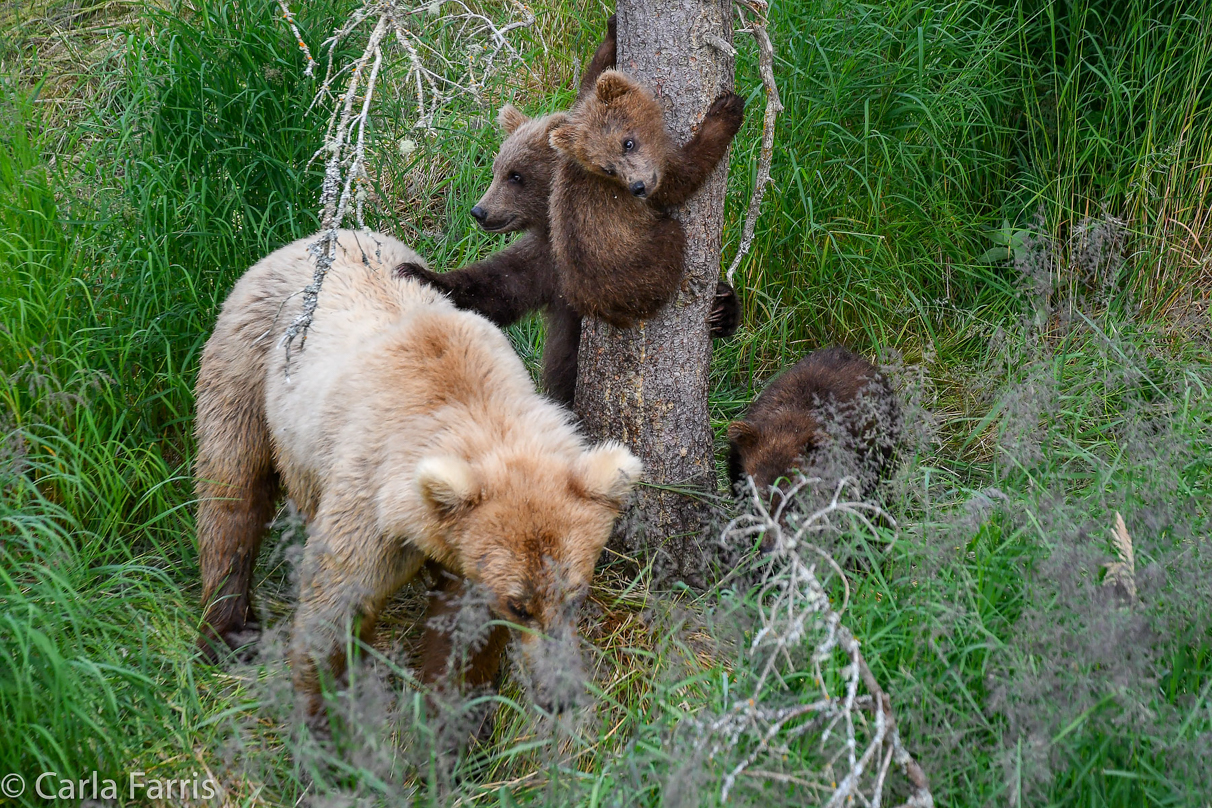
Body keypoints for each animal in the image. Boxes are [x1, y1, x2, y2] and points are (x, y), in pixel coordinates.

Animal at [192, 230, 639, 717]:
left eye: (576, 595)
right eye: (519, 606)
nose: (560, 697)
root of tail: (318, 236)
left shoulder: (462, 552)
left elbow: (461, 637)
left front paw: (452, 715)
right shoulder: (370, 504)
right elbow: (336, 605)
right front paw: (325, 714)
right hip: (248, 358)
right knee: (232, 489)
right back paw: (229, 630)